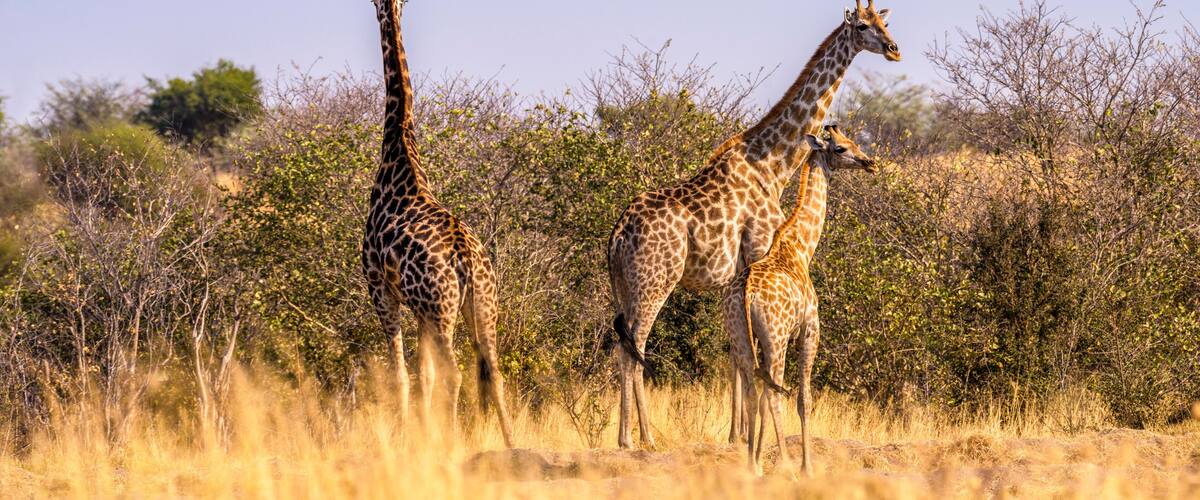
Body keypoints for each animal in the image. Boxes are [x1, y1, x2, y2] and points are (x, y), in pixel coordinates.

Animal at [361, 0, 514, 447]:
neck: (399, 150)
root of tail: (467, 261)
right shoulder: (421, 312)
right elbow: (422, 376)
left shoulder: (380, 288)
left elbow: (401, 376)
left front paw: (408, 440)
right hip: (482, 307)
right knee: (495, 373)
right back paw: (513, 443)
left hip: (444, 309)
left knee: (457, 373)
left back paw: (452, 443)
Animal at [723, 125, 875, 476]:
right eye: (840, 148)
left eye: (852, 142)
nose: (869, 162)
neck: (802, 248)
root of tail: (747, 292)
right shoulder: (809, 331)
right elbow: (804, 399)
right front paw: (807, 467)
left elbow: (762, 399)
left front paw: (759, 458)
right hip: (776, 338)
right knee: (775, 394)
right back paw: (788, 467)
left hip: (740, 337)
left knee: (754, 392)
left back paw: (753, 467)